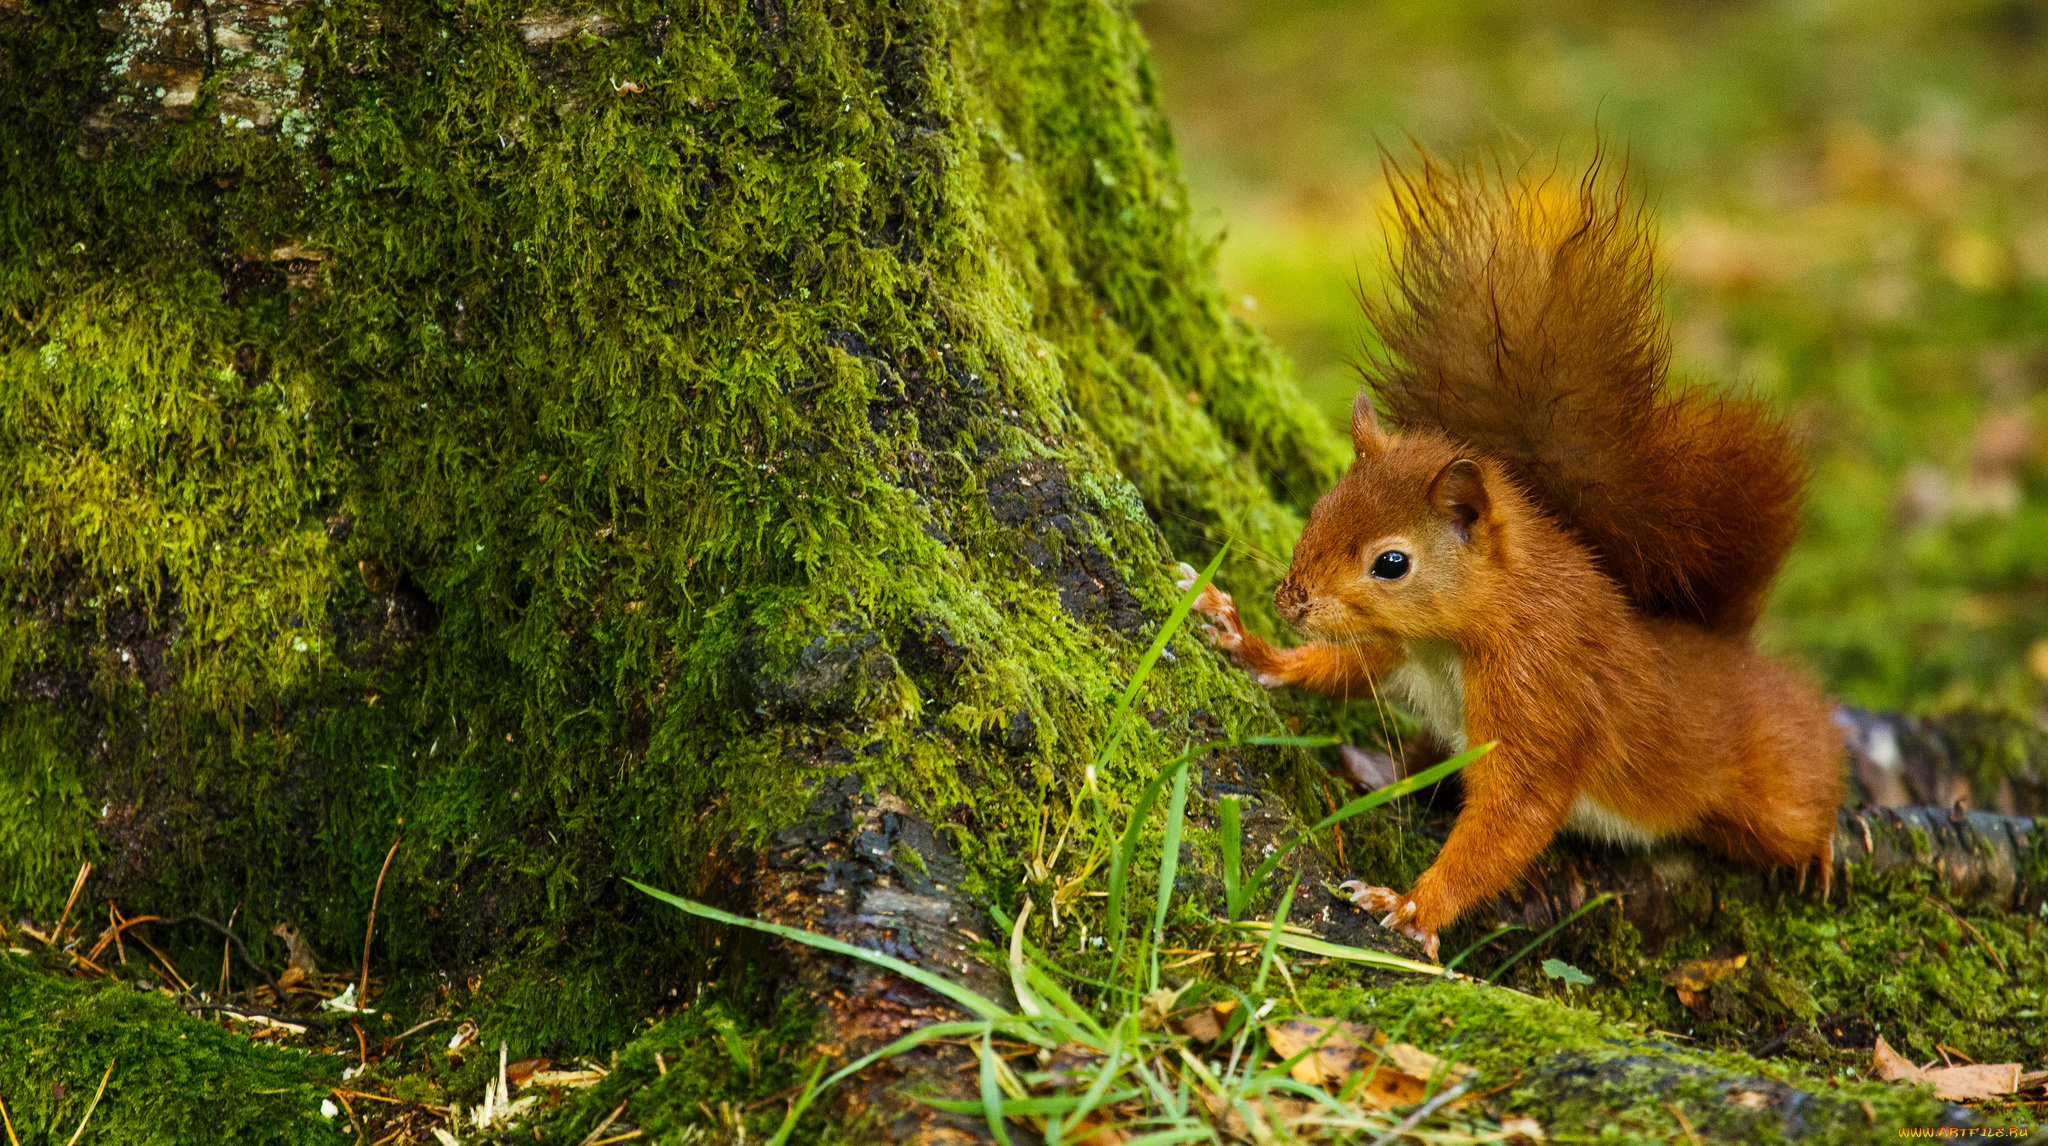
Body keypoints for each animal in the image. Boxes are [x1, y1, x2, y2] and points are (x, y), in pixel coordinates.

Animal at [1187, 154, 1843, 957]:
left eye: (1391, 563)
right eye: (1318, 509)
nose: (1291, 601)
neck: (1458, 639)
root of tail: (1729, 647)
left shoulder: (1543, 694)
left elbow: (1515, 816)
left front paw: (1415, 905)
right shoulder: (1400, 651)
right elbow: (1348, 668)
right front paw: (1247, 642)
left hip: (1772, 781)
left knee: (1807, 798)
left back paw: (1819, 849)